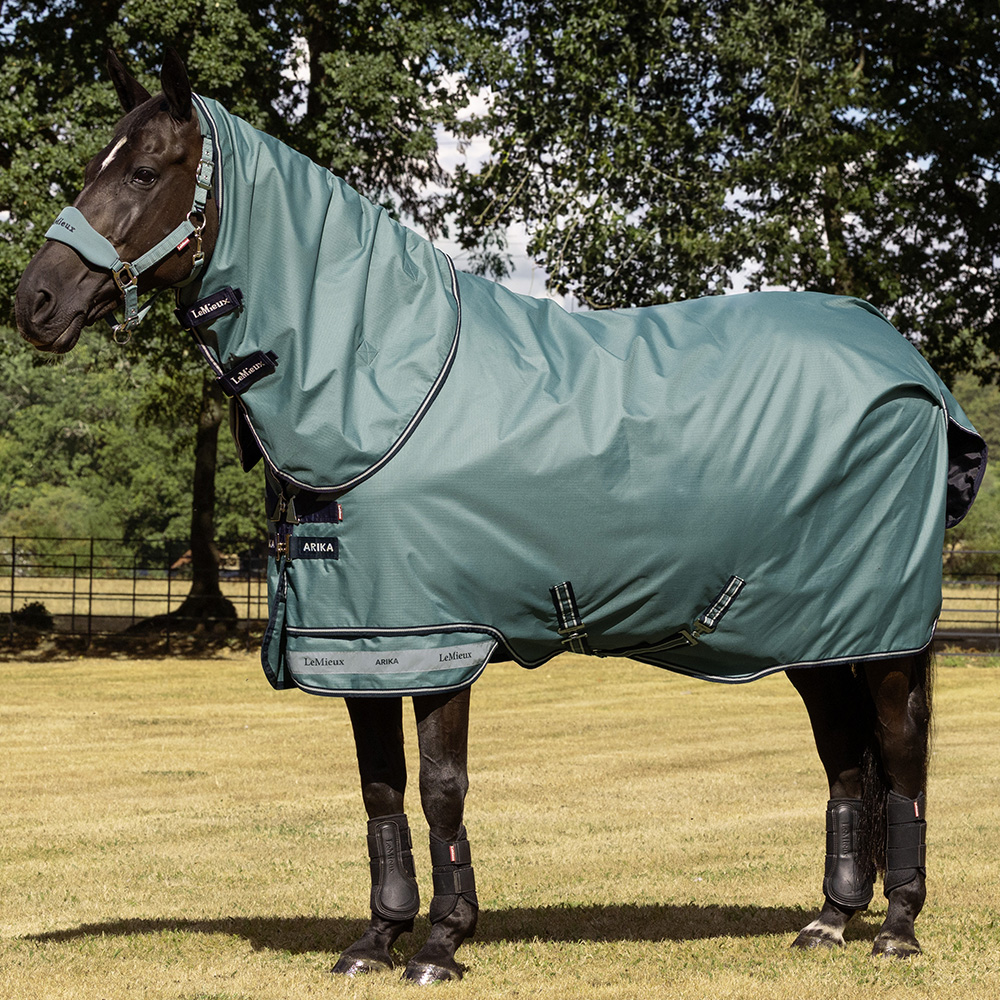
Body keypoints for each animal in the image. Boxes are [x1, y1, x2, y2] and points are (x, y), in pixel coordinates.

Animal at [15, 49, 987, 984]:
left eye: (144, 171)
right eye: (97, 164)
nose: (35, 301)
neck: (379, 379)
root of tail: (912, 368)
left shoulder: (442, 637)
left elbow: (440, 788)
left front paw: (441, 945)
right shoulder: (361, 643)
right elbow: (379, 790)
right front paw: (376, 939)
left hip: (880, 635)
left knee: (900, 752)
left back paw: (896, 929)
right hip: (808, 629)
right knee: (846, 755)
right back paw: (829, 920)